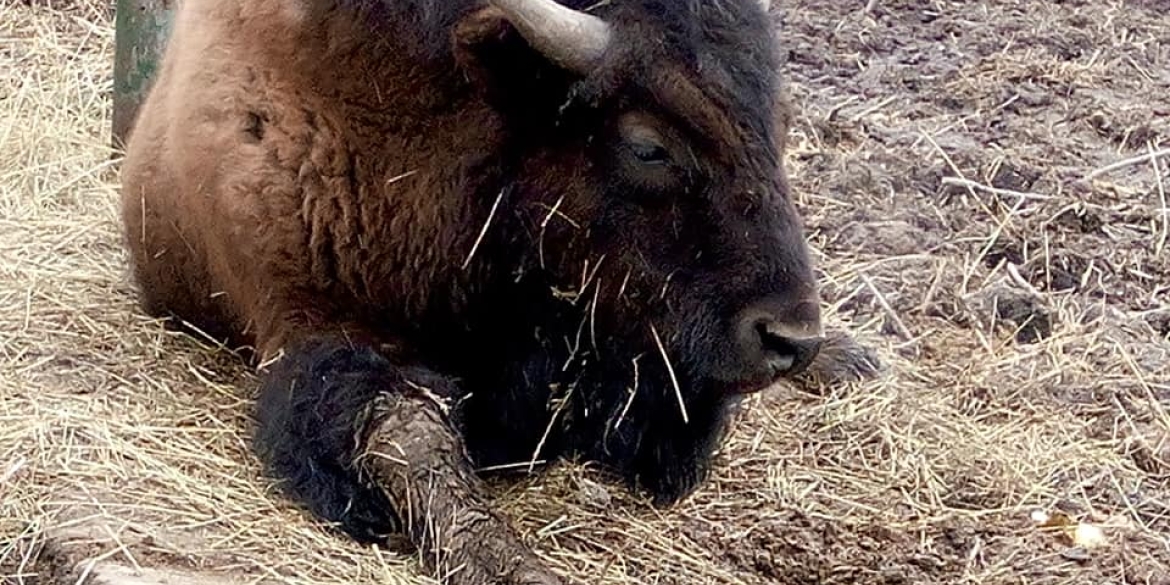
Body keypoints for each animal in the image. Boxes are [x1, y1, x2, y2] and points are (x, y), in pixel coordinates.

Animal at [121, 0, 879, 580]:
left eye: (779, 124)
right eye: (649, 146)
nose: (789, 338)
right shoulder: (317, 326)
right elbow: (413, 441)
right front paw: (513, 563)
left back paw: (853, 360)